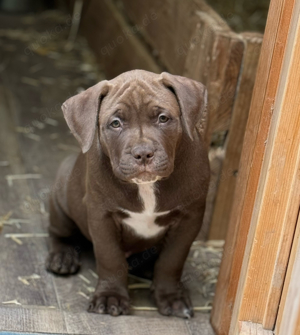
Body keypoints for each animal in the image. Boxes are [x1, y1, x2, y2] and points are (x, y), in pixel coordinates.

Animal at [47, 69, 211, 318]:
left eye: (163, 118)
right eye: (115, 123)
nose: (143, 153)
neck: (146, 186)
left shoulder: (190, 218)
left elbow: (172, 260)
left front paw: (171, 297)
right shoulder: (101, 216)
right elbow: (110, 258)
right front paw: (110, 297)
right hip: (62, 198)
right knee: (58, 232)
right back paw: (62, 256)